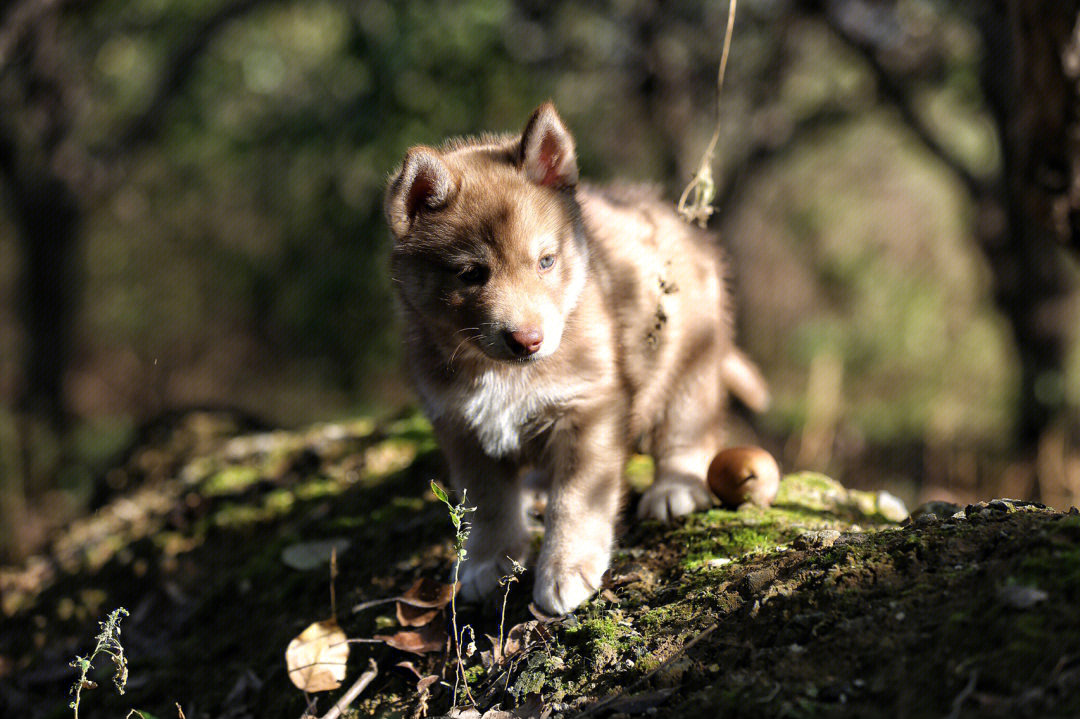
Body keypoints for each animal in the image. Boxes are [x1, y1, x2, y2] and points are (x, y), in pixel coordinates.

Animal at [384, 103, 764, 613]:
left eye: (546, 261)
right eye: (470, 274)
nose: (528, 340)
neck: (500, 374)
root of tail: (675, 216)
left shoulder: (589, 410)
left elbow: (577, 500)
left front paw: (565, 569)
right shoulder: (461, 427)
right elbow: (488, 504)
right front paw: (486, 562)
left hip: (689, 365)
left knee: (688, 431)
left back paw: (676, 489)